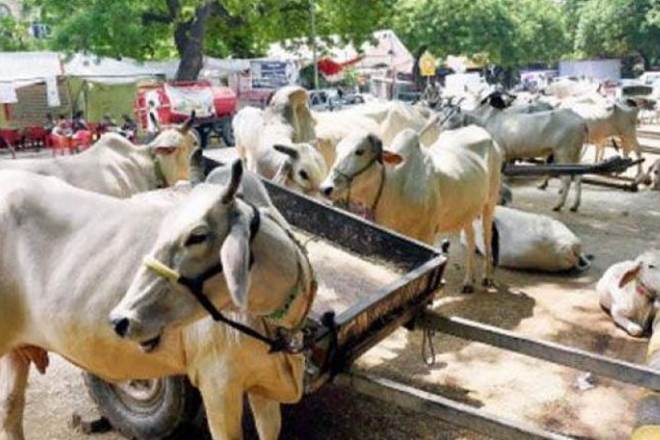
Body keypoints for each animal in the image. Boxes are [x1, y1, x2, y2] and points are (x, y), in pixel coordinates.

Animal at [320, 128, 502, 293]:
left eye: (360, 151)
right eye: (337, 150)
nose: (325, 188)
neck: (393, 187)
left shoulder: (428, 233)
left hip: (490, 202)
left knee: (486, 237)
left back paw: (487, 277)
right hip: (466, 211)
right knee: (471, 238)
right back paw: (468, 282)